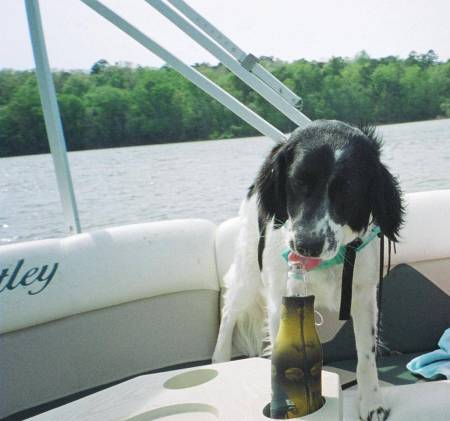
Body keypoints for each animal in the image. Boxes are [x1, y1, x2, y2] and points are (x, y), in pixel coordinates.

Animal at [212, 120, 404, 418]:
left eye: (347, 190)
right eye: (298, 181)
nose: (307, 246)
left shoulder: (364, 297)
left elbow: (366, 355)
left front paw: (372, 402)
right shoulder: (280, 299)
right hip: (247, 274)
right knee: (229, 312)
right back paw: (219, 361)